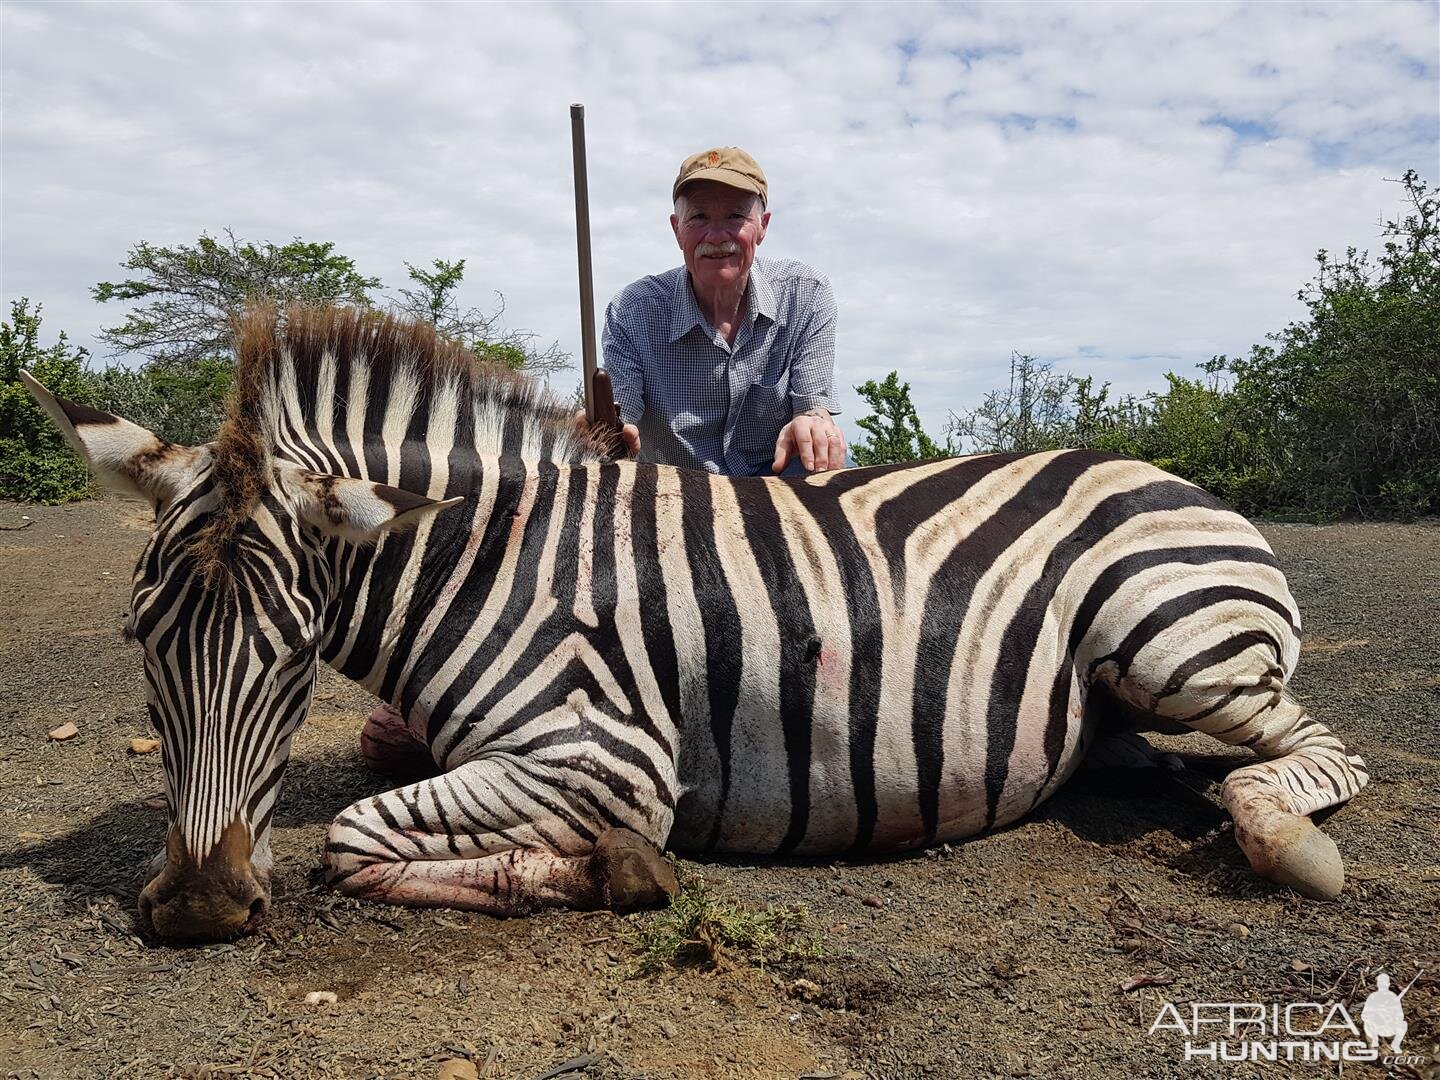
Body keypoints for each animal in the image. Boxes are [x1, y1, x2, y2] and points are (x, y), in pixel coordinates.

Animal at [25, 305, 1370, 944]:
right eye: (143, 641)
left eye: (299, 654)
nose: (200, 909)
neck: (492, 559)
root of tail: (1168, 472)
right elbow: (360, 828)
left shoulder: (603, 749)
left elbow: (354, 839)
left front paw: (616, 867)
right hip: (1123, 692)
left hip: (1174, 642)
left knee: (1318, 755)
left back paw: (1280, 839)